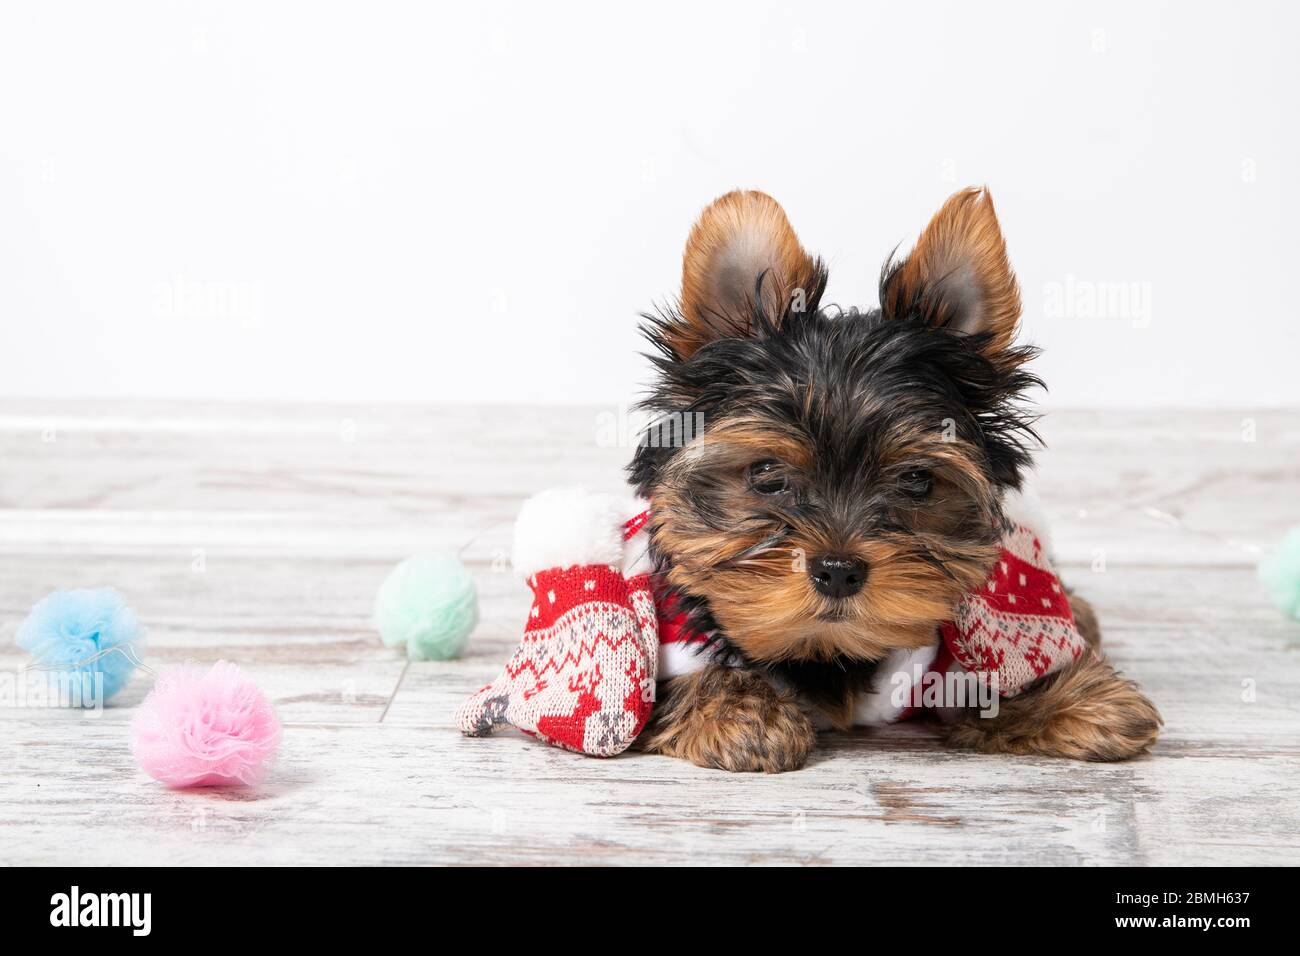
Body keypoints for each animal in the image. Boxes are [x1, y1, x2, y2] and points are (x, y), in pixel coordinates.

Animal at [626, 187, 1159, 770]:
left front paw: (1068, 699)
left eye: (916, 481)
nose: (837, 570)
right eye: (766, 475)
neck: (828, 652)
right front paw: (741, 711)